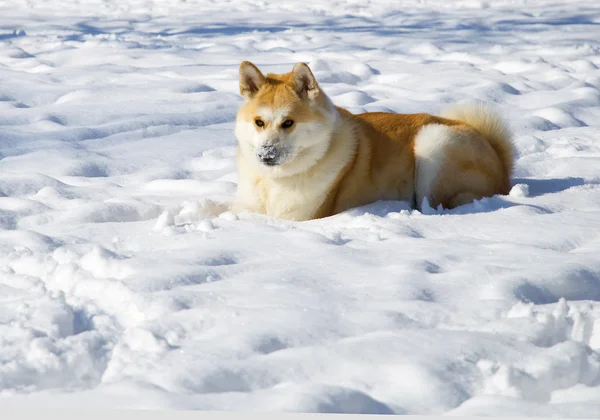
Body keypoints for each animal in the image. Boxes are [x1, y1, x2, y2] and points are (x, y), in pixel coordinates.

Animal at [229, 60, 510, 221]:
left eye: (288, 123)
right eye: (259, 122)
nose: (265, 155)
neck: (272, 181)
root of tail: (499, 159)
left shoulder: (297, 217)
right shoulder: (246, 204)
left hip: (434, 143)